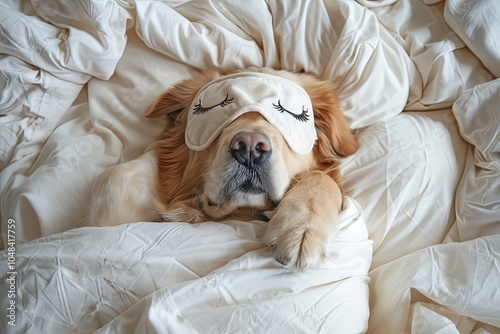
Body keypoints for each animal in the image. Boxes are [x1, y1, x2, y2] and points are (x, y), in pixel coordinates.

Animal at [89, 68, 356, 268]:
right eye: (212, 107)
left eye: (293, 114)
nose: (249, 149)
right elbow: (116, 179)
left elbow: (321, 177)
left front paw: (301, 227)